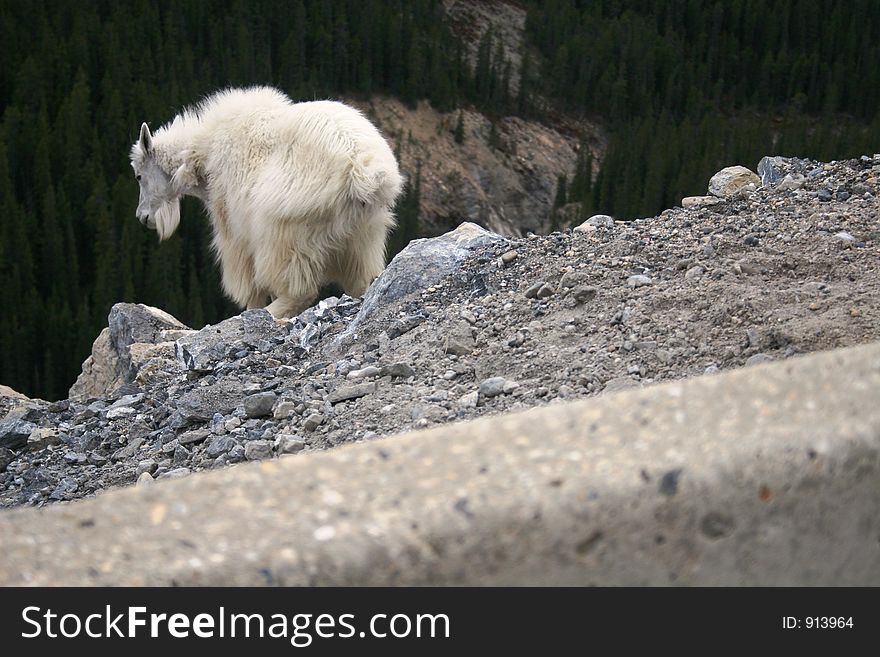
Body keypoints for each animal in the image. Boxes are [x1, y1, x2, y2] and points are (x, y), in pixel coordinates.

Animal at [129, 86, 404, 318]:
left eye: (139, 176)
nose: (143, 217)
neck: (202, 154)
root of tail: (363, 169)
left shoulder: (234, 229)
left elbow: (249, 284)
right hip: (364, 233)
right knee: (362, 279)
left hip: (286, 229)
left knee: (298, 289)